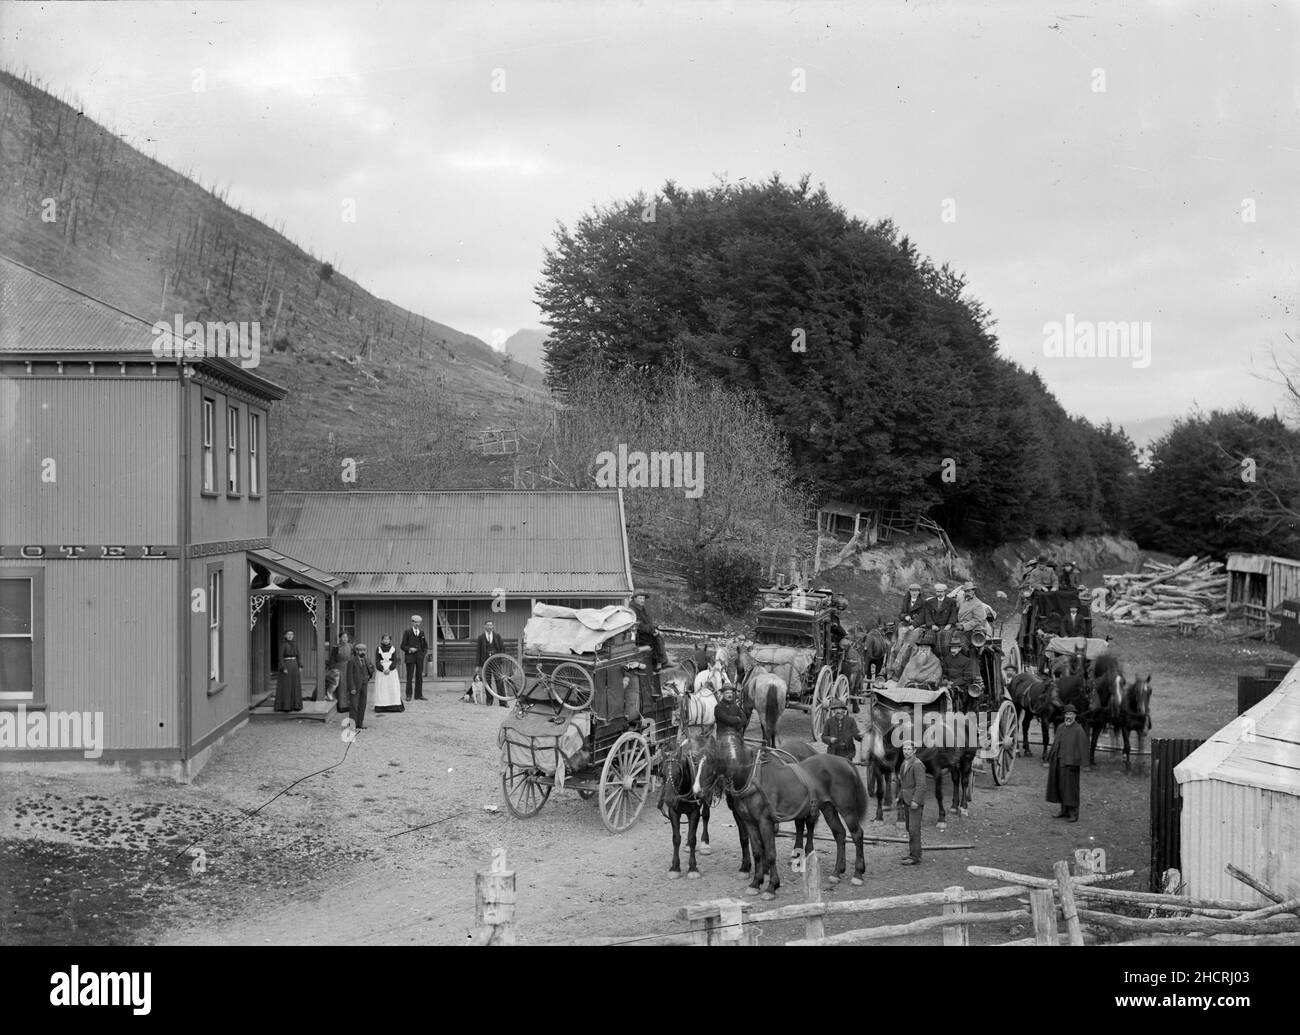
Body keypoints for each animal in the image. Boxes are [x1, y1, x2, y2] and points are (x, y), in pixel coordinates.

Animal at [655, 733, 717, 878]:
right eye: (662, 773)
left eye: (679, 773)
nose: (668, 799)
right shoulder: (673, 812)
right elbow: (676, 838)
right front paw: (674, 867)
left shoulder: (694, 812)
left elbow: (693, 837)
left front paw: (693, 868)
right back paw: (688, 846)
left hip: (708, 795)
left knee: (705, 816)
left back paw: (705, 843)